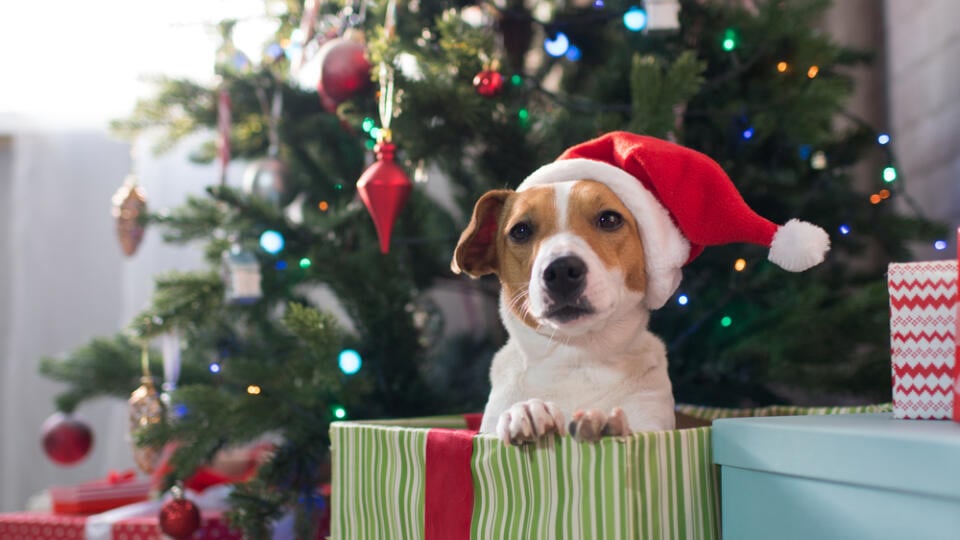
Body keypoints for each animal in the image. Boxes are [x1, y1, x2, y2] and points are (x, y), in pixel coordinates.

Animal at [450, 179, 676, 446]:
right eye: (520, 231)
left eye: (609, 219)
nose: (560, 271)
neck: (574, 356)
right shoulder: (488, 429)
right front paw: (527, 410)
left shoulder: (652, 425)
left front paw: (601, 422)